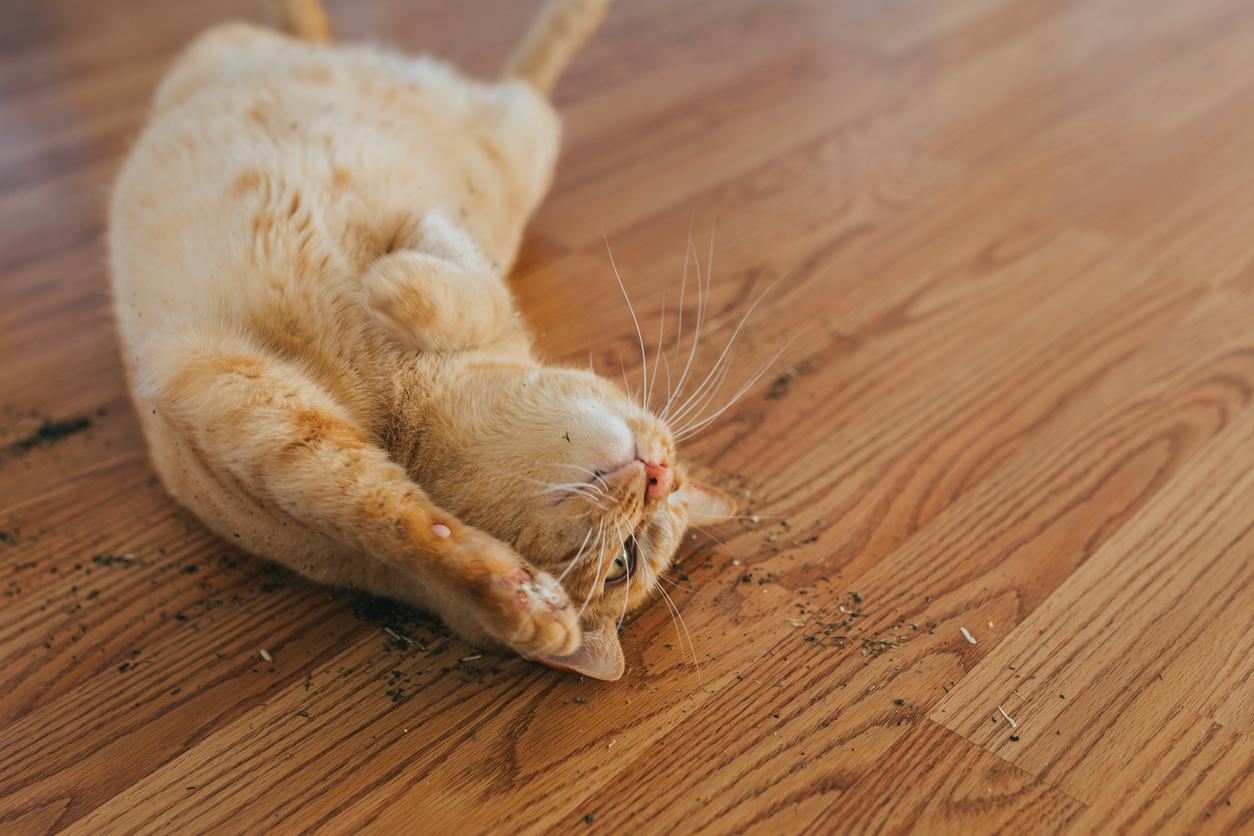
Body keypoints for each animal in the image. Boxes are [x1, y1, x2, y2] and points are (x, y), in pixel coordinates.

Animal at [110, 0, 732, 681]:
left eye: (623, 561)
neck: (411, 409)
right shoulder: (250, 402)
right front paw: (394, 284)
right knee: (524, 66)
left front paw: (525, 607)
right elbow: (467, 290)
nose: (659, 473)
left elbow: (400, 523)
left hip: (522, 126)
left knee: (530, 70)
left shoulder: (263, 423)